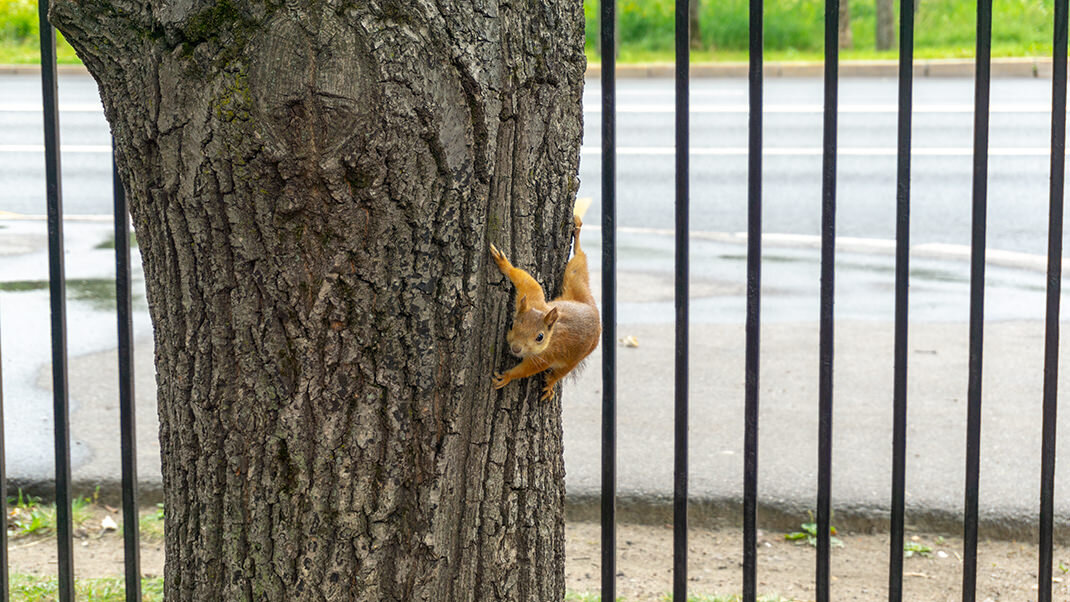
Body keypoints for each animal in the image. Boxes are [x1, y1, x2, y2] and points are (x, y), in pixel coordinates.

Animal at [490, 215, 601, 401]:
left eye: (540, 337)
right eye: (512, 324)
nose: (516, 348)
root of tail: (593, 310)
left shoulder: (546, 356)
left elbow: (528, 369)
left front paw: (507, 376)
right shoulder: (534, 300)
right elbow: (529, 283)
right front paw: (505, 265)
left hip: (576, 357)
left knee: (562, 372)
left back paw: (550, 383)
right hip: (575, 282)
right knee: (578, 262)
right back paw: (577, 235)